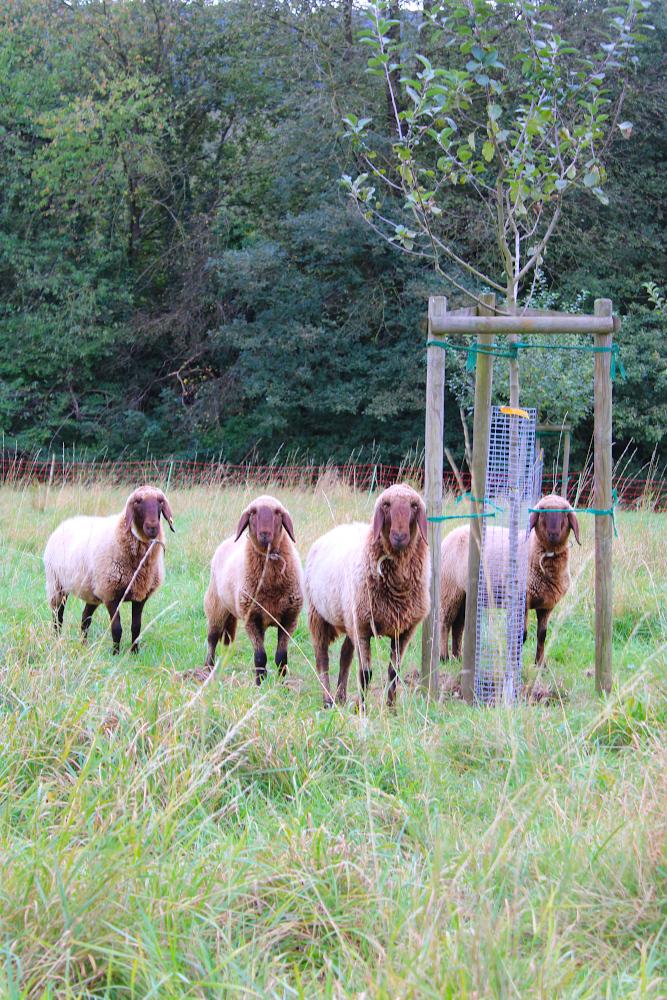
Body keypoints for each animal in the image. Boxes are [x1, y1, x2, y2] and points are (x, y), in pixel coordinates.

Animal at [43, 486, 175, 654]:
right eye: (137, 502)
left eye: (160, 501)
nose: (152, 528)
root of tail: (65, 523)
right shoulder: (111, 594)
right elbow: (116, 628)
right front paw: (115, 653)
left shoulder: (139, 596)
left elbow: (136, 627)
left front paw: (134, 652)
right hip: (56, 584)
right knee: (57, 615)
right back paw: (57, 639)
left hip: (92, 592)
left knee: (85, 618)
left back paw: (83, 645)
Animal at [203, 495, 304, 684]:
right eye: (252, 513)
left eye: (278, 513)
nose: (265, 535)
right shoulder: (251, 619)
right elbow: (260, 657)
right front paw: (260, 683)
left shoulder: (289, 619)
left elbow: (281, 657)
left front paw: (281, 684)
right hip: (216, 607)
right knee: (212, 639)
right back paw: (207, 670)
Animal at [304, 483, 430, 709]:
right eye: (386, 505)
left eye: (414, 506)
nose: (399, 537)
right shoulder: (363, 627)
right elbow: (365, 673)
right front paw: (362, 709)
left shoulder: (404, 630)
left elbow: (394, 672)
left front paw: (391, 708)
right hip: (317, 615)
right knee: (322, 658)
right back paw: (328, 700)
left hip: (349, 618)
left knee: (345, 654)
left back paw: (341, 696)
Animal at [439, 493, 580, 666]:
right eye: (541, 513)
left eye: (565, 514)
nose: (553, 534)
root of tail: (451, 534)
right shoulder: (522, 599)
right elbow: (522, 635)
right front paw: (515, 663)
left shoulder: (547, 606)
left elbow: (542, 635)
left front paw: (539, 664)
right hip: (450, 590)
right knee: (445, 623)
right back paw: (444, 657)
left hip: (465, 595)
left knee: (458, 625)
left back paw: (457, 656)